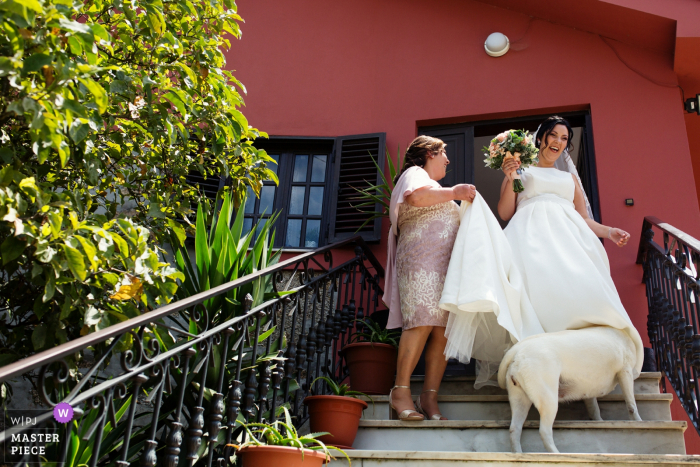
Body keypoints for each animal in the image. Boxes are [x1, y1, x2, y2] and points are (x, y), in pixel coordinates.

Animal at [498, 326, 640, 454]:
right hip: (548, 399)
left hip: (519, 399)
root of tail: (517, 350)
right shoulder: (625, 372)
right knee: (544, 431)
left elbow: (594, 410)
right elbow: (631, 405)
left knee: (514, 429)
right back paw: (556, 454)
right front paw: (637, 421)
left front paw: (599, 421)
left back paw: (518, 454)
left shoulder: (589, 393)